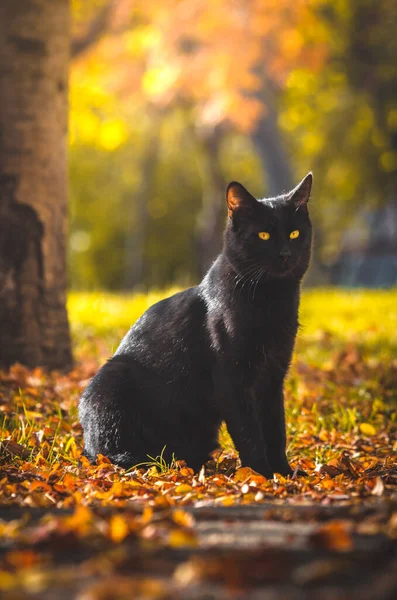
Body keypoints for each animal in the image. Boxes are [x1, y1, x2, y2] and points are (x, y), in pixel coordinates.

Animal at [79, 173, 310, 478]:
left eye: (295, 234)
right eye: (264, 235)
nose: (285, 254)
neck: (272, 300)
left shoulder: (273, 376)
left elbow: (276, 430)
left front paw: (285, 474)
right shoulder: (232, 379)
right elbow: (249, 432)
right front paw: (260, 475)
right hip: (112, 379)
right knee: (110, 452)